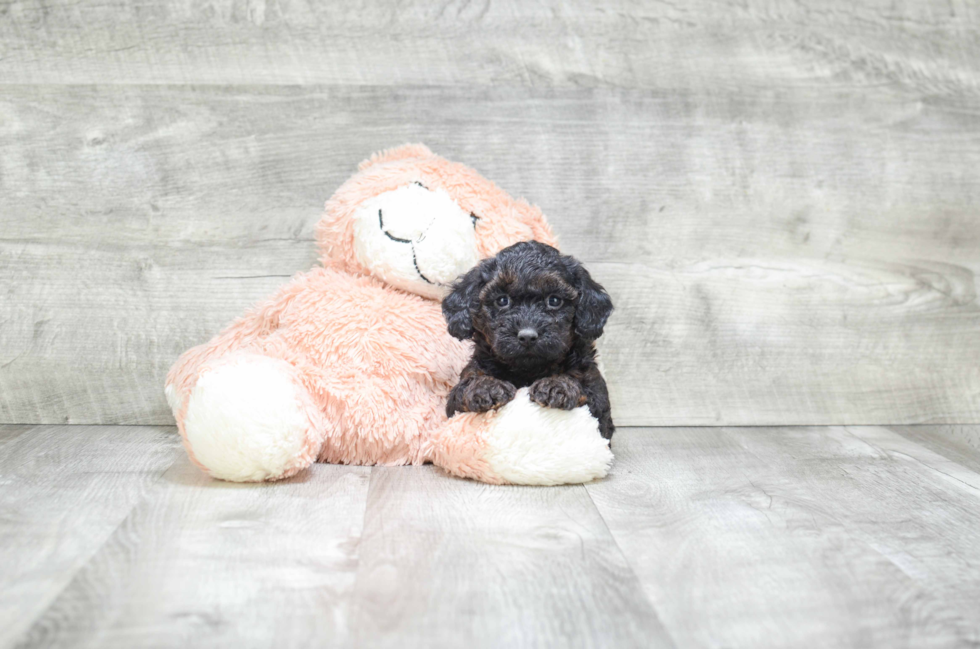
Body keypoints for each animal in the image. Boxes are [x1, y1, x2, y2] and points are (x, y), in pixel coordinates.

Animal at [442, 240, 612, 438]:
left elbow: (583, 387)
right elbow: (465, 387)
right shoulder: (455, 403)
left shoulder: (598, 401)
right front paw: (485, 387)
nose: (527, 336)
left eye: (554, 300)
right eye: (502, 300)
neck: (528, 370)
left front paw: (557, 385)